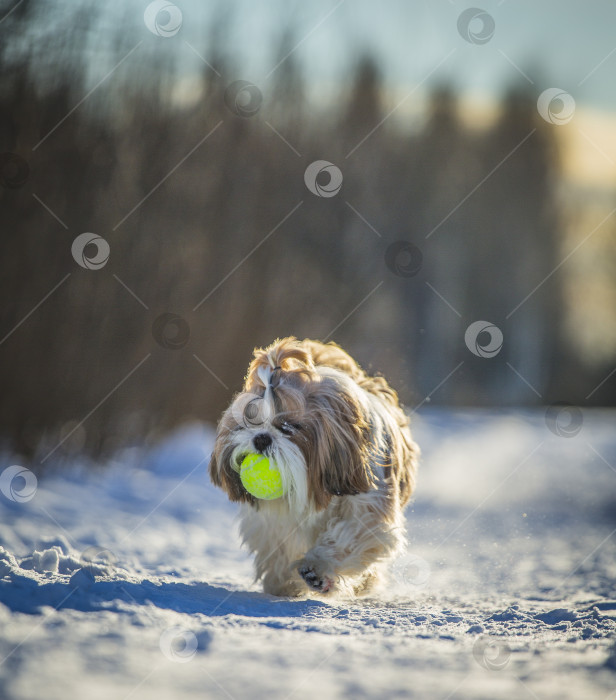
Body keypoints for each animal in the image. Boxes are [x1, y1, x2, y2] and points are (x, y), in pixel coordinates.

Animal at [208, 340, 418, 596]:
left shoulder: (367, 506)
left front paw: (317, 570)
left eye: (289, 426)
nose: (261, 438)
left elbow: (349, 535)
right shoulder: (271, 525)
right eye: (250, 421)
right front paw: (283, 583)